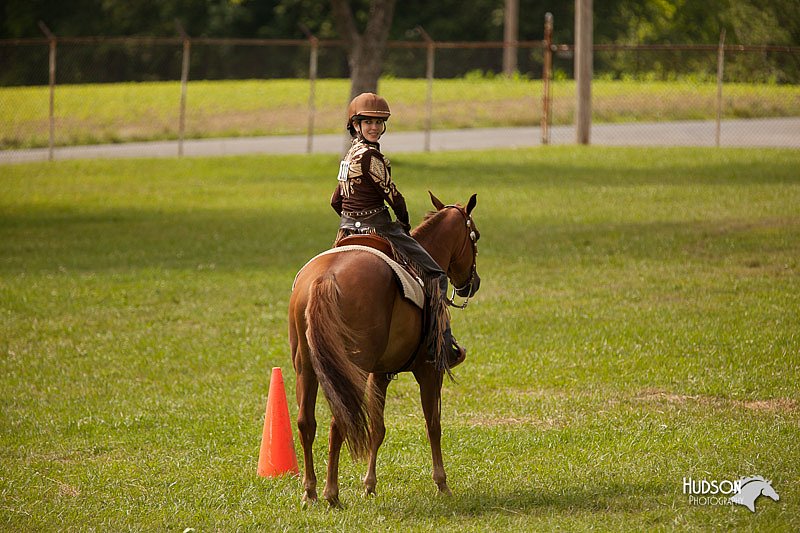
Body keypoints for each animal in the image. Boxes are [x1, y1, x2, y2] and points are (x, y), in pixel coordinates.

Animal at [290, 192, 482, 508]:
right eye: (474, 236)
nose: (472, 284)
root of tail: (323, 279)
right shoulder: (429, 370)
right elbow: (433, 424)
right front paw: (442, 484)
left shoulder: (379, 373)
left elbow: (378, 429)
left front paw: (369, 485)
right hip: (350, 368)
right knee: (339, 420)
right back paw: (332, 493)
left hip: (306, 365)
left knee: (307, 422)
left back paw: (311, 492)